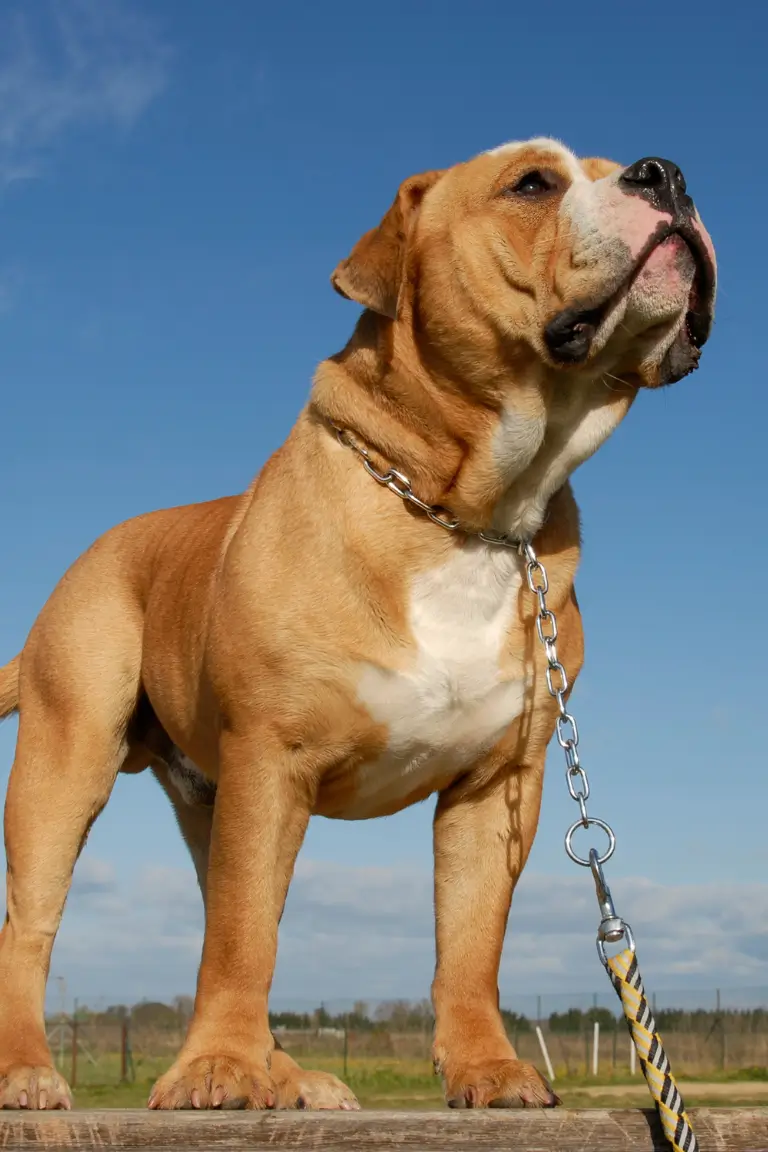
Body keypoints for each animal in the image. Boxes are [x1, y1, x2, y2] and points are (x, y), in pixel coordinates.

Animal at [0, 139, 713, 1110]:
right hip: (67, 762)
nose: (665, 171)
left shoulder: (497, 788)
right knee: (38, 928)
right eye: (532, 183)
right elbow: (243, 939)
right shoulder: (272, 760)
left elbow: (471, 945)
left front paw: (488, 1069)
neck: (471, 515)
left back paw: (296, 1080)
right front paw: (216, 1070)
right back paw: (31, 1072)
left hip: (210, 807)